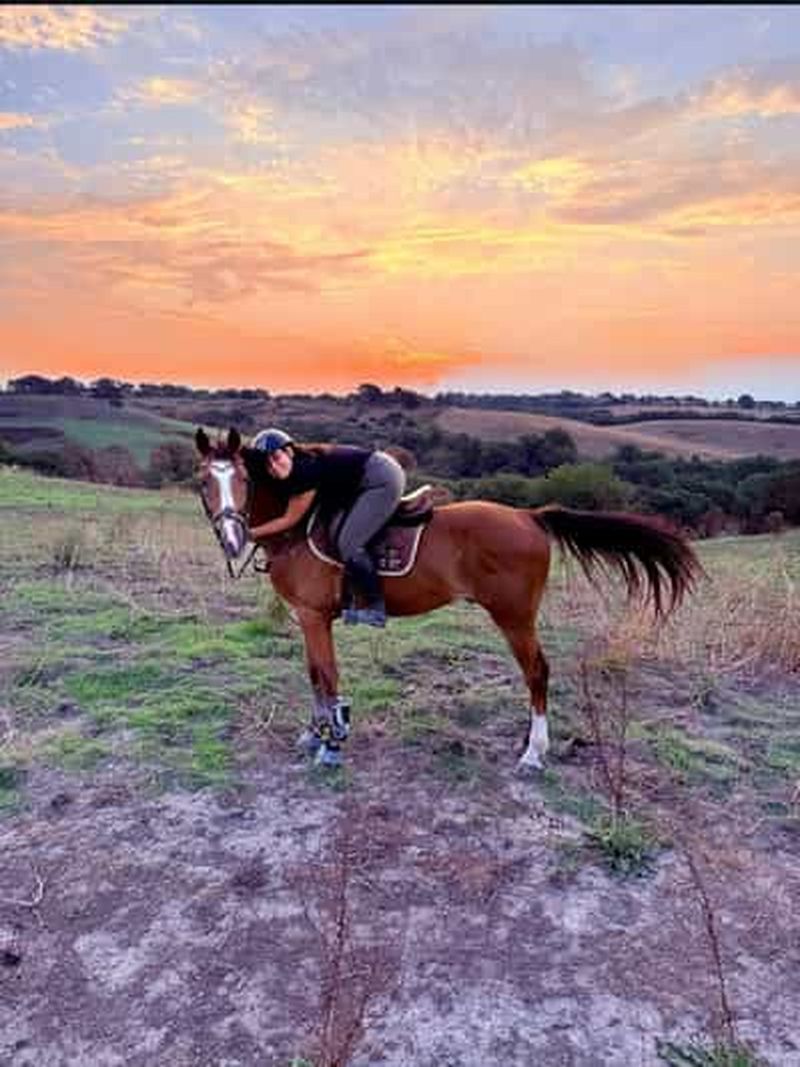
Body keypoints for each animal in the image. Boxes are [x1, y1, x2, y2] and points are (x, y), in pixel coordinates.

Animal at [195, 427, 701, 769]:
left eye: (244, 480)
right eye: (203, 481)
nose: (233, 540)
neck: (296, 527)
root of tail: (531, 516)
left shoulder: (316, 616)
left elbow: (328, 677)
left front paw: (331, 744)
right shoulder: (307, 618)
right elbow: (315, 677)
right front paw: (312, 734)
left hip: (514, 616)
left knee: (537, 671)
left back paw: (534, 753)